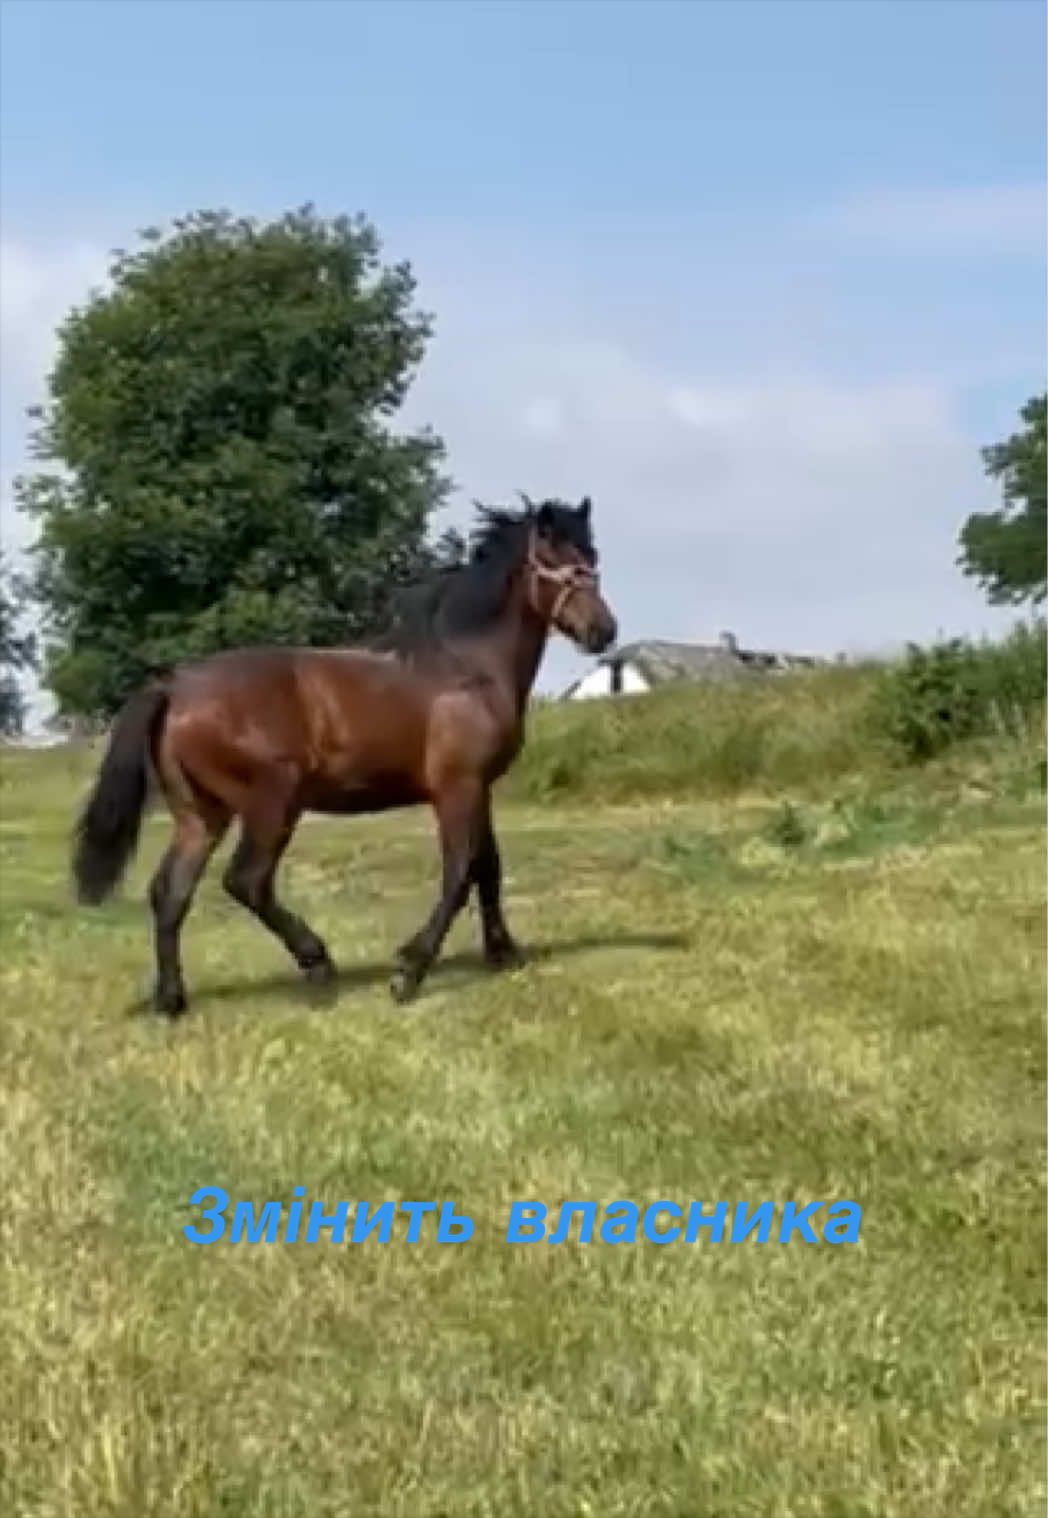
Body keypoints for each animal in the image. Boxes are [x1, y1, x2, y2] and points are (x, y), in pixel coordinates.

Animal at [72, 496, 617, 1015]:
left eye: (591, 555)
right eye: (552, 557)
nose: (603, 631)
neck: (468, 668)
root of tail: (175, 687)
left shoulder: (478, 787)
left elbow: (488, 867)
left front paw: (503, 953)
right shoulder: (456, 787)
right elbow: (460, 873)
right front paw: (409, 972)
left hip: (201, 815)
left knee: (170, 893)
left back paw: (172, 1000)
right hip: (273, 803)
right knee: (246, 881)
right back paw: (318, 965)